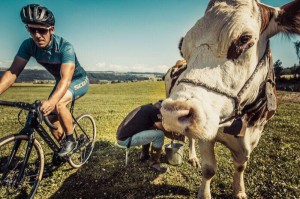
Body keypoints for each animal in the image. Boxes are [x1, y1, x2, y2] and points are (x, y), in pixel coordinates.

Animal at [161, 0, 298, 198]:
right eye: (183, 48)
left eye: (244, 39)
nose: (173, 113)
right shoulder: (207, 136)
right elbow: (209, 169)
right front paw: (204, 193)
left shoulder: (253, 139)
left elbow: (240, 167)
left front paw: (239, 191)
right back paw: (193, 157)